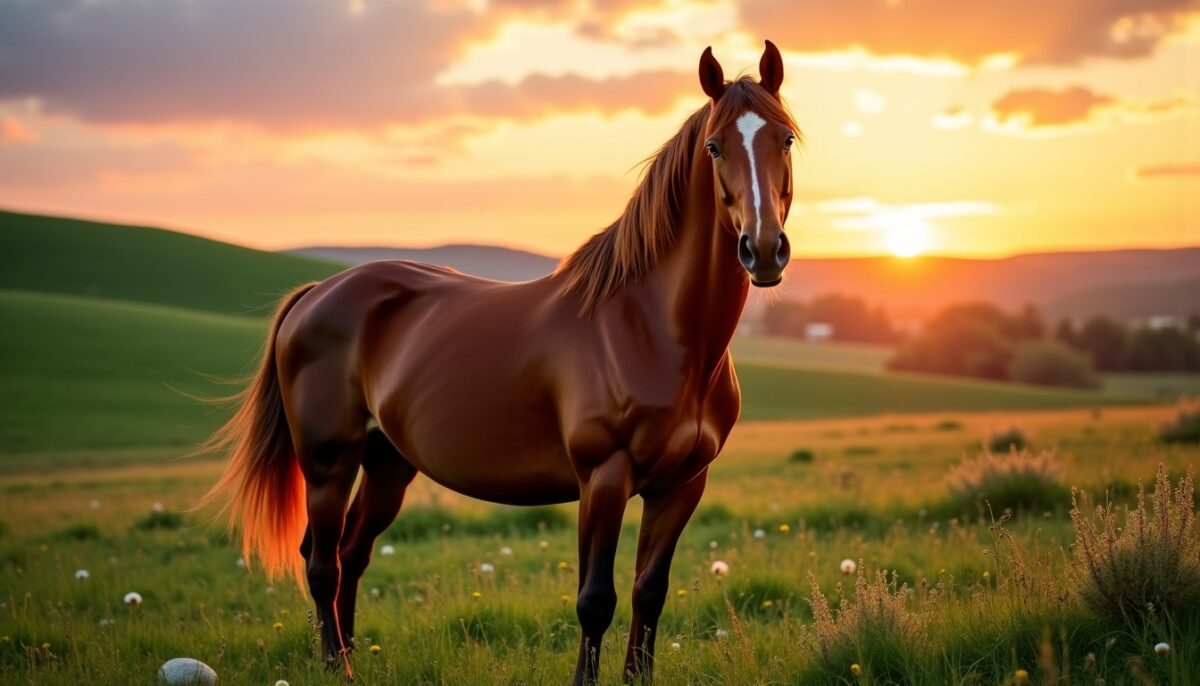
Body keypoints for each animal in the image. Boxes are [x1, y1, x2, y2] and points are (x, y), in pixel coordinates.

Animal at [201, 40, 798, 685]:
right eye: (715, 146)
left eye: (785, 138)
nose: (764, 250)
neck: (653, 328)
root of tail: (317, 293)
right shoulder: (604, 476)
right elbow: (596, 600)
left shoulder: (682, 484)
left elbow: (649, 592)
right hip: (328, 463)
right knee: (321, 563)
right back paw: (339, 666)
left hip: (387, 464)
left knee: (350, 553)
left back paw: (351, 654)